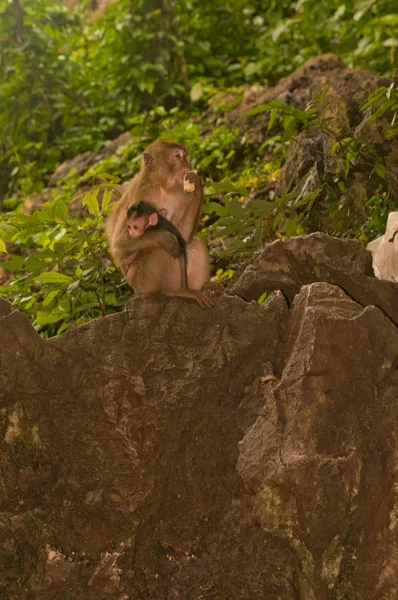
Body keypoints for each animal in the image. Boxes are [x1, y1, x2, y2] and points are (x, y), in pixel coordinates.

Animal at [105, 139, 211, 310]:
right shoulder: (139, 196)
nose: (187, 164)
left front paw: (197, 187)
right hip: (142, 282)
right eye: (178, 156)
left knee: (193, 244)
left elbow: (183, 236)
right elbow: (119, 242)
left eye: (184, 155)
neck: (161, 187)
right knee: (160, 248)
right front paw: (162, 237)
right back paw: (170, 291)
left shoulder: (180, 194)